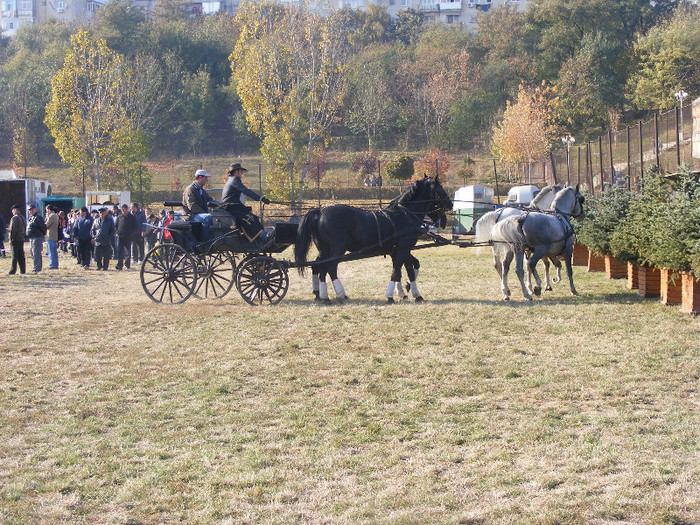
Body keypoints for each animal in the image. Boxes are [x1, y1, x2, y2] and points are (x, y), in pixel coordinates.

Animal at [292, 175, 452, 302]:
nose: (449, 206)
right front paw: (391, 296)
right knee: (330, 266)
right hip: (338, 248)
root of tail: (320, 211)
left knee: (318, 265)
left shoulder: (401, 250)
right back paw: (336, 294)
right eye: (440, 189)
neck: (405, 214)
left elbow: (409, 268)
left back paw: (320, 294)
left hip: (324, 249)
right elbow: (398, 270)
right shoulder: (403, 248)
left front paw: (409, 291)